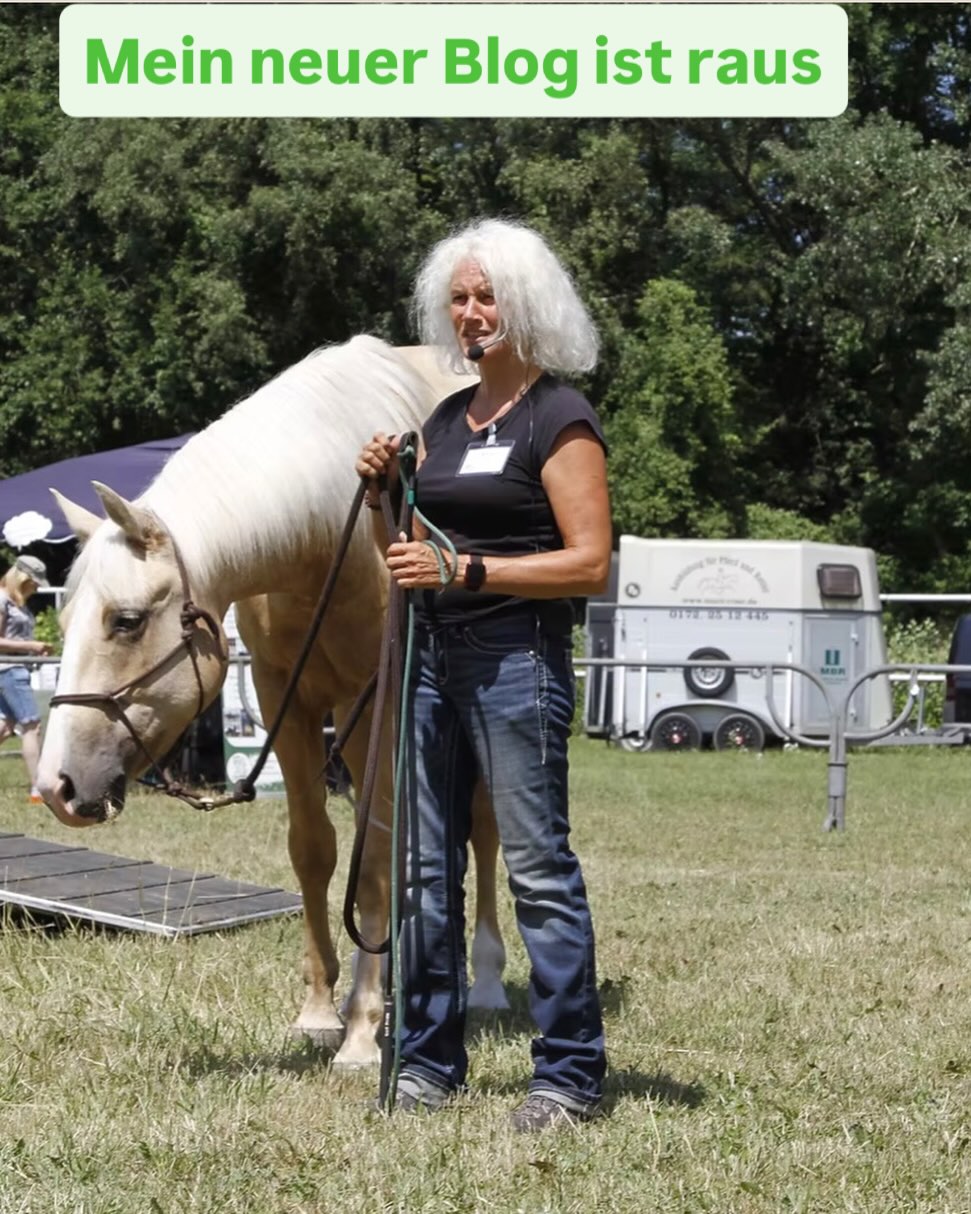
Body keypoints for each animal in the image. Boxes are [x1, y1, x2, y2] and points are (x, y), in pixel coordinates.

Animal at [36, 335, 509, 1068]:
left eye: (127, 620)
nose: (54, 786)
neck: (325, 533)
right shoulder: (284, 694)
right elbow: (314, 849)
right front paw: (320, 1011)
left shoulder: (369, 705)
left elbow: (371, 861)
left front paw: (363, 1032)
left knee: (482, 829)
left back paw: (482, 981)